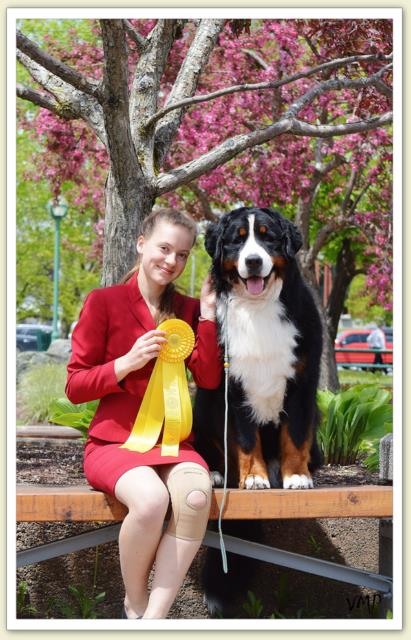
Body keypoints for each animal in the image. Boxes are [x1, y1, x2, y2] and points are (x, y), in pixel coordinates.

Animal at [193, 206, 326, 616]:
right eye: (237, 240)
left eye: (267, 237)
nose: (253, 261)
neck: (259, 307)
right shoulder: (232, 387)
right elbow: (245, 440)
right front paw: (253, 478)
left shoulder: (302, 382)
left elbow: (295, 435)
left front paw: (297, 476)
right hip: (202, 401)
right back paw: (218, 472)